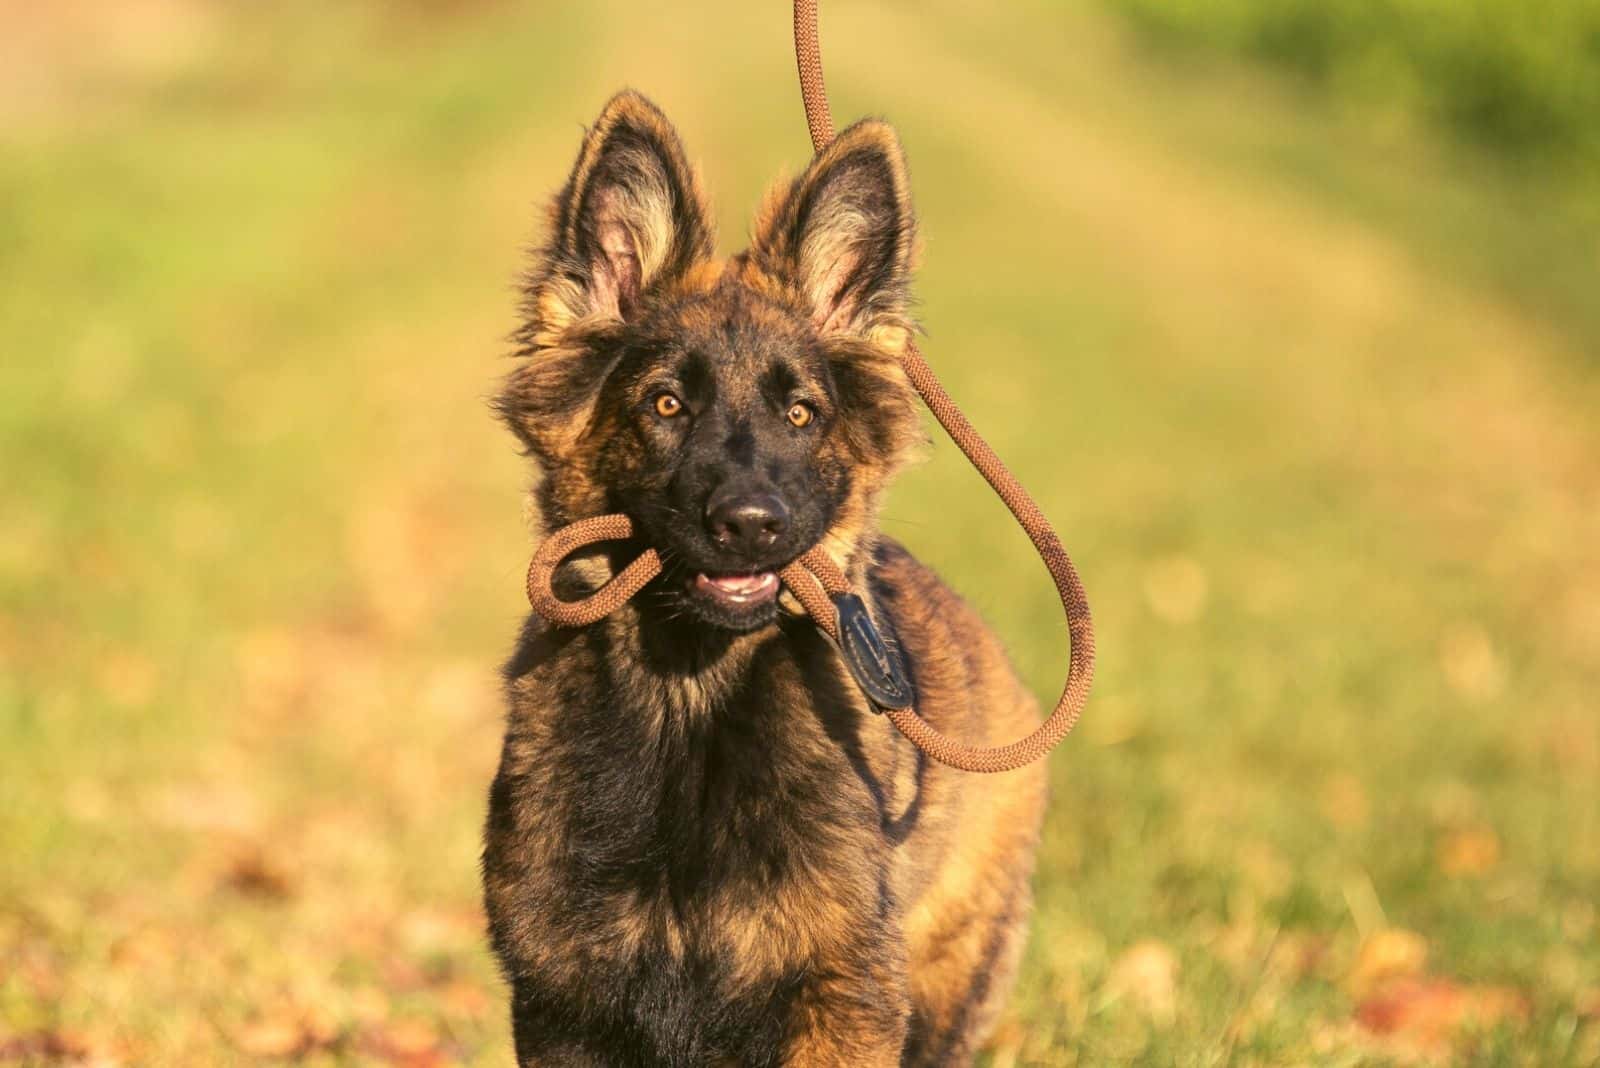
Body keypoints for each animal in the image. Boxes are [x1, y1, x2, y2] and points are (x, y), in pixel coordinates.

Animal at [480, 93, 1043, 1068]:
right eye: (667, 404)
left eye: (801, 413)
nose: (751, 525)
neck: (688, 699)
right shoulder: (565, 1000)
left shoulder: (843, 996)